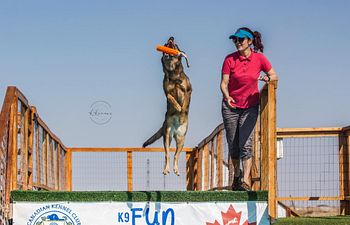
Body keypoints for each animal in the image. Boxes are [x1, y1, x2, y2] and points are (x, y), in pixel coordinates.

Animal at [142, 36, 191, 176]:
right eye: (165, 43)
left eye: (176, 45)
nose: (171, 37)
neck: (173, 72)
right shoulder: (166, 92)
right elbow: (171, 98)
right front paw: (178, 108)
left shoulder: (188, 90)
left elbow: (185, 103)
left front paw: (182, 111)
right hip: (167, 136)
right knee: (168, 154)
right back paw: (167, 169)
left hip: (181, 139)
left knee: (176, 155)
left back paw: (176, 169)